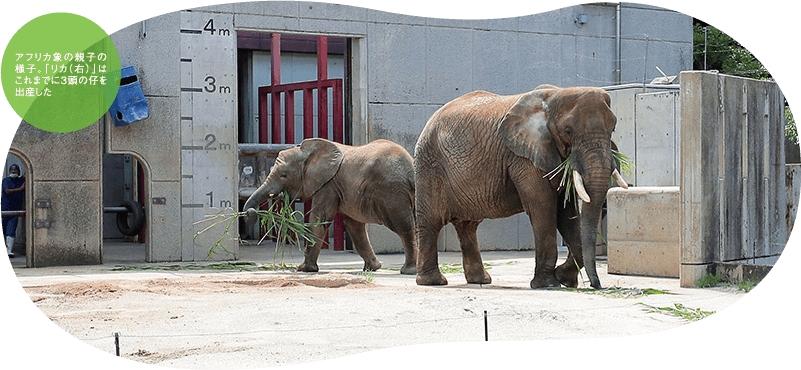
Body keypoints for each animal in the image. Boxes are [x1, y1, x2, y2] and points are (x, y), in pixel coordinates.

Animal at [241, 138, 416, 274]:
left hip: (392, 193)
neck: (307, 153)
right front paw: (372, 268)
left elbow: (319, 220)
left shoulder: (328, 185)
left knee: (404, 226)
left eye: (284, 175)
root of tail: (410, 169)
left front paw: (304, 269)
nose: (249, 213)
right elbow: (354, 226)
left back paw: (408, 271)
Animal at [412, 86, 624, 290]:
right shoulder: (523, 157)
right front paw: (548, 283)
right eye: (568, 130)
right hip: (429, 165)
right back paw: (433, 281)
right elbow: (543, 207)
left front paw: (564, 279)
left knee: (468, 226)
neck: (556, 95)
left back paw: (480, 280)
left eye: (613, 128)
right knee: (431, 221)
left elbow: (566, 213)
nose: (597, 285)